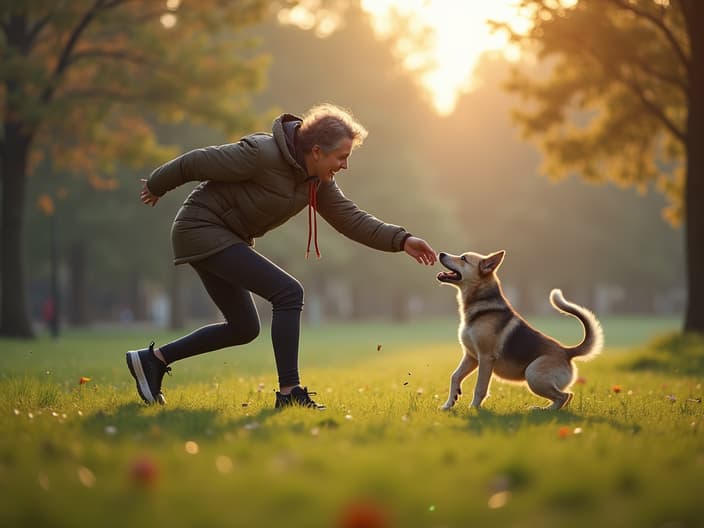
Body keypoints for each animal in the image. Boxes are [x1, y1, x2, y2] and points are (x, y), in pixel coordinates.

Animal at [438, 250, 604, 410]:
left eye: (463, 258)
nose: (441, 254)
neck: (482, 307)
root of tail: (567, 352)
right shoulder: (471, 356)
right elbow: (455, 376)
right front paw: (449, 404)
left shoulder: (485, 358)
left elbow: (480, 388)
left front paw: (473, 408)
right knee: (567, 396)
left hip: (533, 374)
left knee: (564, 396)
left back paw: (543, 411)